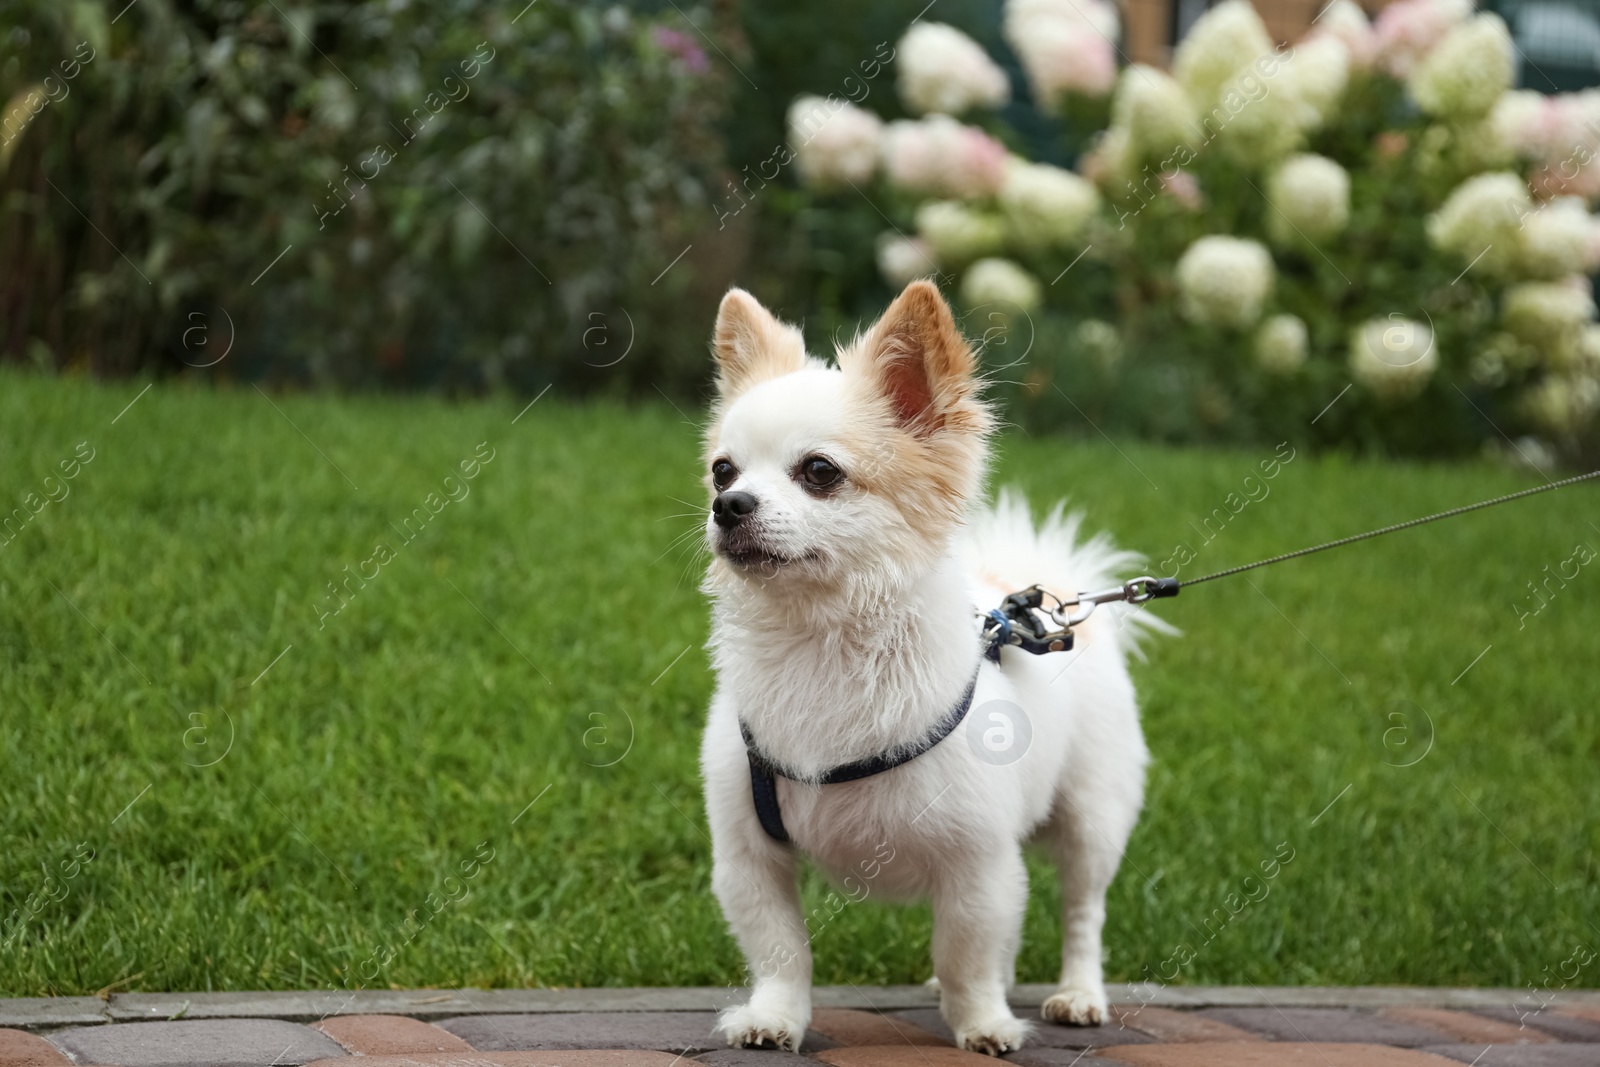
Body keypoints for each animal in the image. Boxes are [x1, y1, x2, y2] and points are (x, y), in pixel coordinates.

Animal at [700, 279, 1164, 1055]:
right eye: (722, 470)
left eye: (819, 472)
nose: (727, 505)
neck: (820, 645)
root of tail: (1048, 593)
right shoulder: (749, 855)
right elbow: (781, 949)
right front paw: (775, 1017)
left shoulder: (976, 859)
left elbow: (965, 951)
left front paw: (981, 1023)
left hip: (1091, 818)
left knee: (1082, 911)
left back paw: (1077, 995)